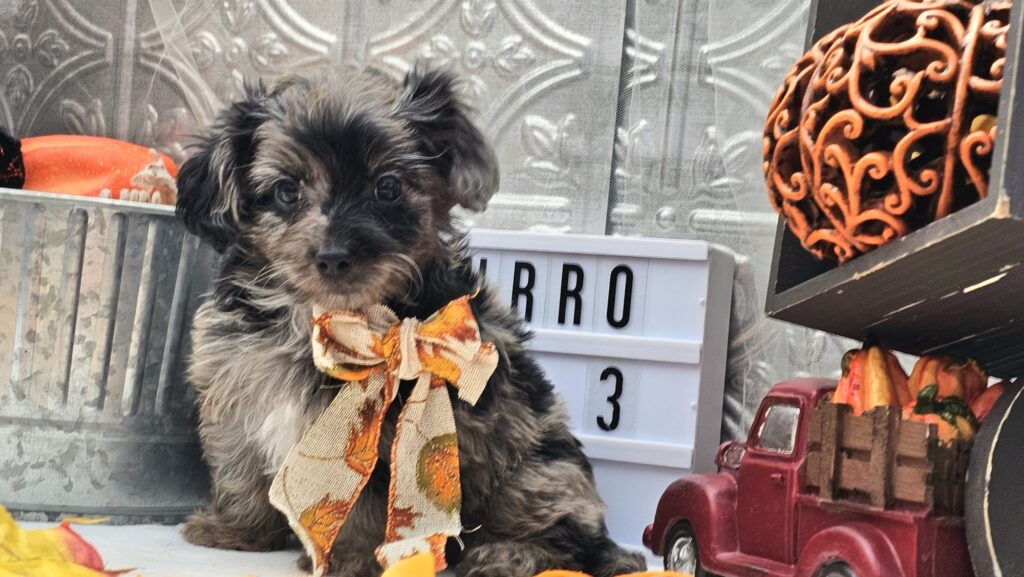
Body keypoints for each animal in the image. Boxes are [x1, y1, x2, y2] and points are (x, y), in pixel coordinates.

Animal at [173, 65, 643, 577]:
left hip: (539, 470)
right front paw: (235, 530)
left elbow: (361, 504)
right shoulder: (237, 383)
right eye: (285, 190)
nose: (334, 256)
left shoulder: (373, 436)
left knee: (563, 537)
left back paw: (508, 553)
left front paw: (348, 558)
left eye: (388, 187)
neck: (327, 320)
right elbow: (237, 462)